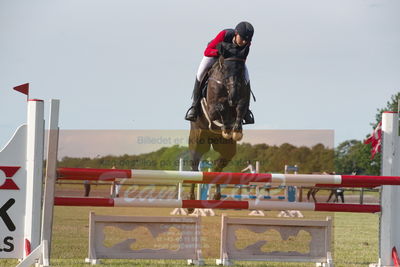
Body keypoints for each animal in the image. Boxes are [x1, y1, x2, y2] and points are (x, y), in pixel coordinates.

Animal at [187, 52, 250, 214]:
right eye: (225, 71)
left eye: (241, 71)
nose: (233, 96)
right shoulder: (212, 108)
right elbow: (219, 108)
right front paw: (227, 126)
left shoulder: (242, 99)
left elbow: (241, 107)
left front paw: (236, 130)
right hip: (198, 142)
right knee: (194, 168)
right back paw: (190, 203)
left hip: (227, 148)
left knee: (217, 166)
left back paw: (216, 196)